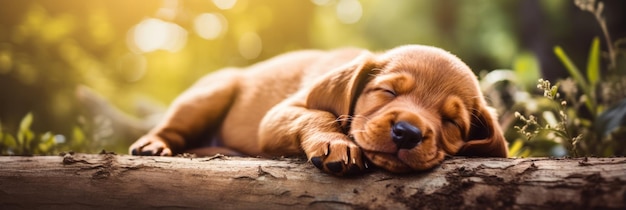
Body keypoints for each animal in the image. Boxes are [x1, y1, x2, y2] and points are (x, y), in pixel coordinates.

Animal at [129, 44, 504, 176]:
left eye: (451, 121)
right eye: (387, 91)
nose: (407, 133)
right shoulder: (279, 113)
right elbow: (319, 114)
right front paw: (336, 144)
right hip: (212, 93)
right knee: (172, 127)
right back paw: (154, 144)